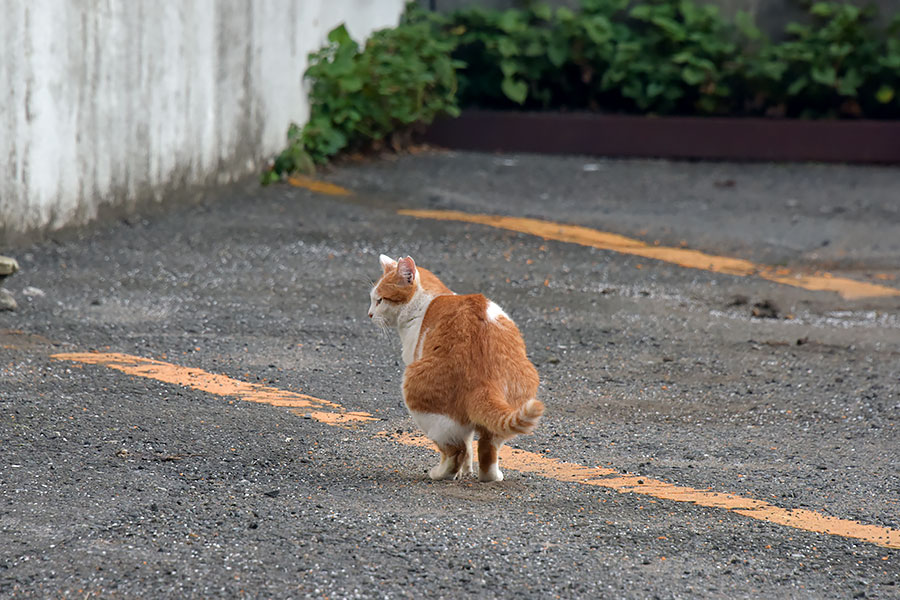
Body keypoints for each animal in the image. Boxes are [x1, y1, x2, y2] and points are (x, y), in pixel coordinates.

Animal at [366, 254, 540, 482]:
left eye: (380, 300)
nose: (369, 314)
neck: (429, 299)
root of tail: (485, 380)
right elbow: (470, 444)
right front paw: (467, 471)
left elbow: (464, 447)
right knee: (487, 447)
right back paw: (491, 476)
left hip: (419, 398)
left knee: (454, 450)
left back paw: (439, 474)